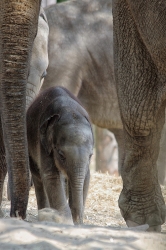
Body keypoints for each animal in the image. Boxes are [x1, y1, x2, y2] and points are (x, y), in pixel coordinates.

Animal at [26, 86, 92, 225]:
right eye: (61, 155)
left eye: (90, 156)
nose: (78, 220)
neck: (68, 110)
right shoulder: (43, 144)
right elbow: (51, 176)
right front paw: (66, 221)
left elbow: (86, 176)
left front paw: (76, 222)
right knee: (38, 177)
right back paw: (44, 213)